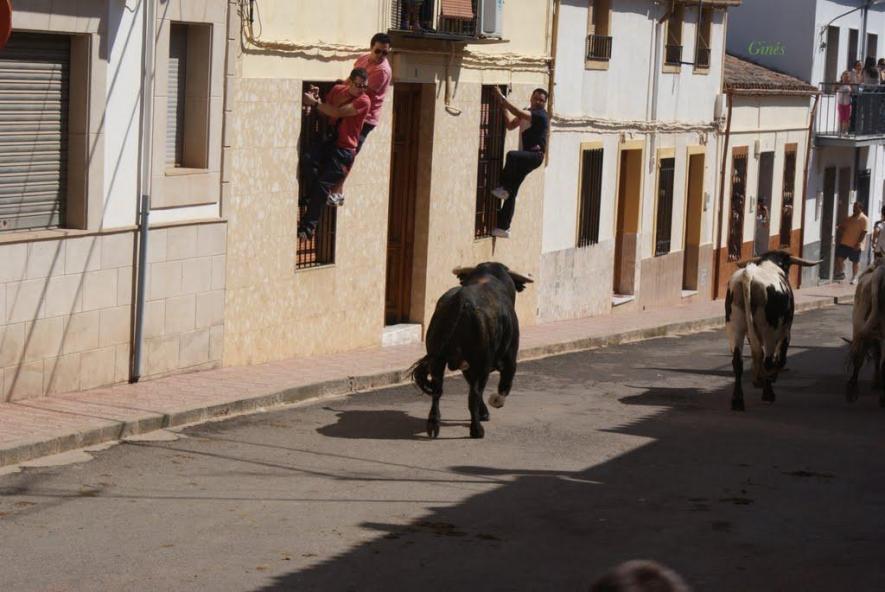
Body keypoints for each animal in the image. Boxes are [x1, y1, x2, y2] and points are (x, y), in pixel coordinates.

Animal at [409, 262, 532, 439]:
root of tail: (462, 301)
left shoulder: (468, 367)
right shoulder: (509, 359)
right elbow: (503, 385)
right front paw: (494, 403)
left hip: (438, 360)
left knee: (438, 390)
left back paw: (433, 426)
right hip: (481, 363)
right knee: (473, 394)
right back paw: (477, 430)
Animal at [725, 250, 820, 411]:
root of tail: (749, 274)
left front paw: (758, 379)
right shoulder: (785, 331)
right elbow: (780, 359)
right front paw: (768, 379)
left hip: (735, 327)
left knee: (738, 362)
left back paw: (737, 400)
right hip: (769, 331)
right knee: (768, 361)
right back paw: (768, 394)